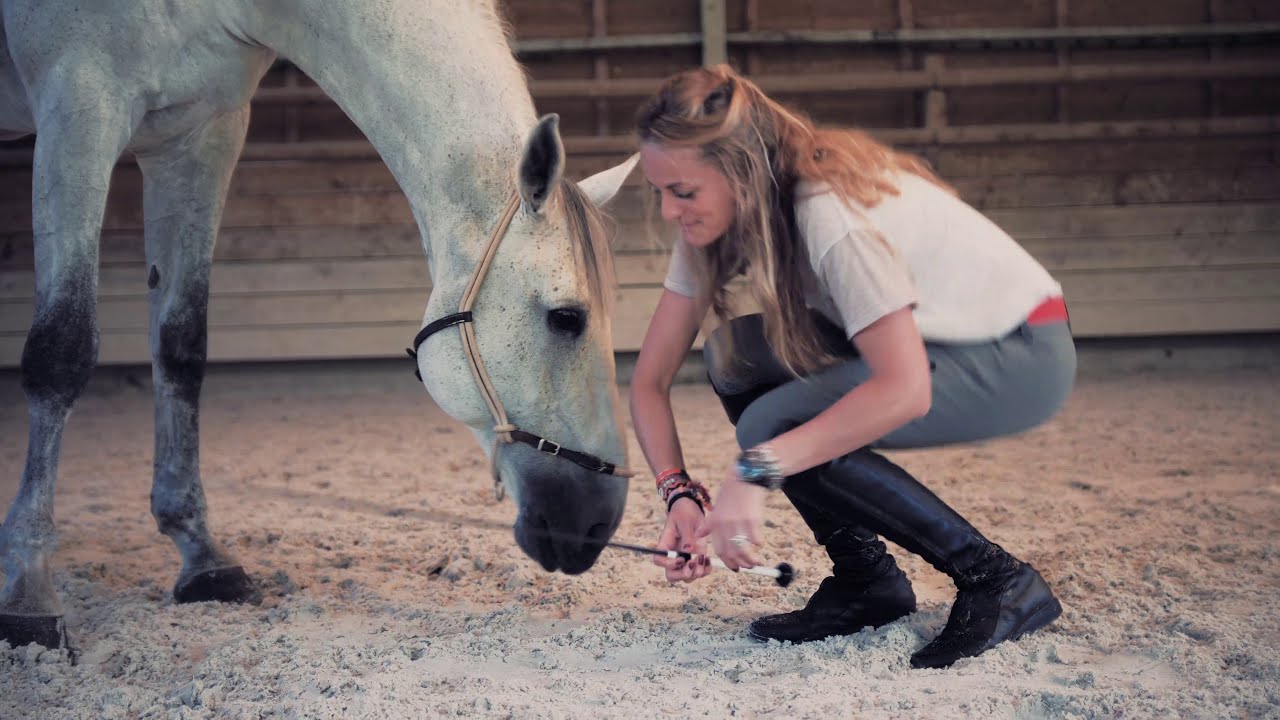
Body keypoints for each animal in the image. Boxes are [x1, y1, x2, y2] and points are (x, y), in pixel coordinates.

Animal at [0, 0, 639, 651]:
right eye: (566, 318)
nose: (597, 523)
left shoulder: (199, 134)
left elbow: (181, 346)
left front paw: (200, 555)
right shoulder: (79, 103)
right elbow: (61, 350)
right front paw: (30, 588)